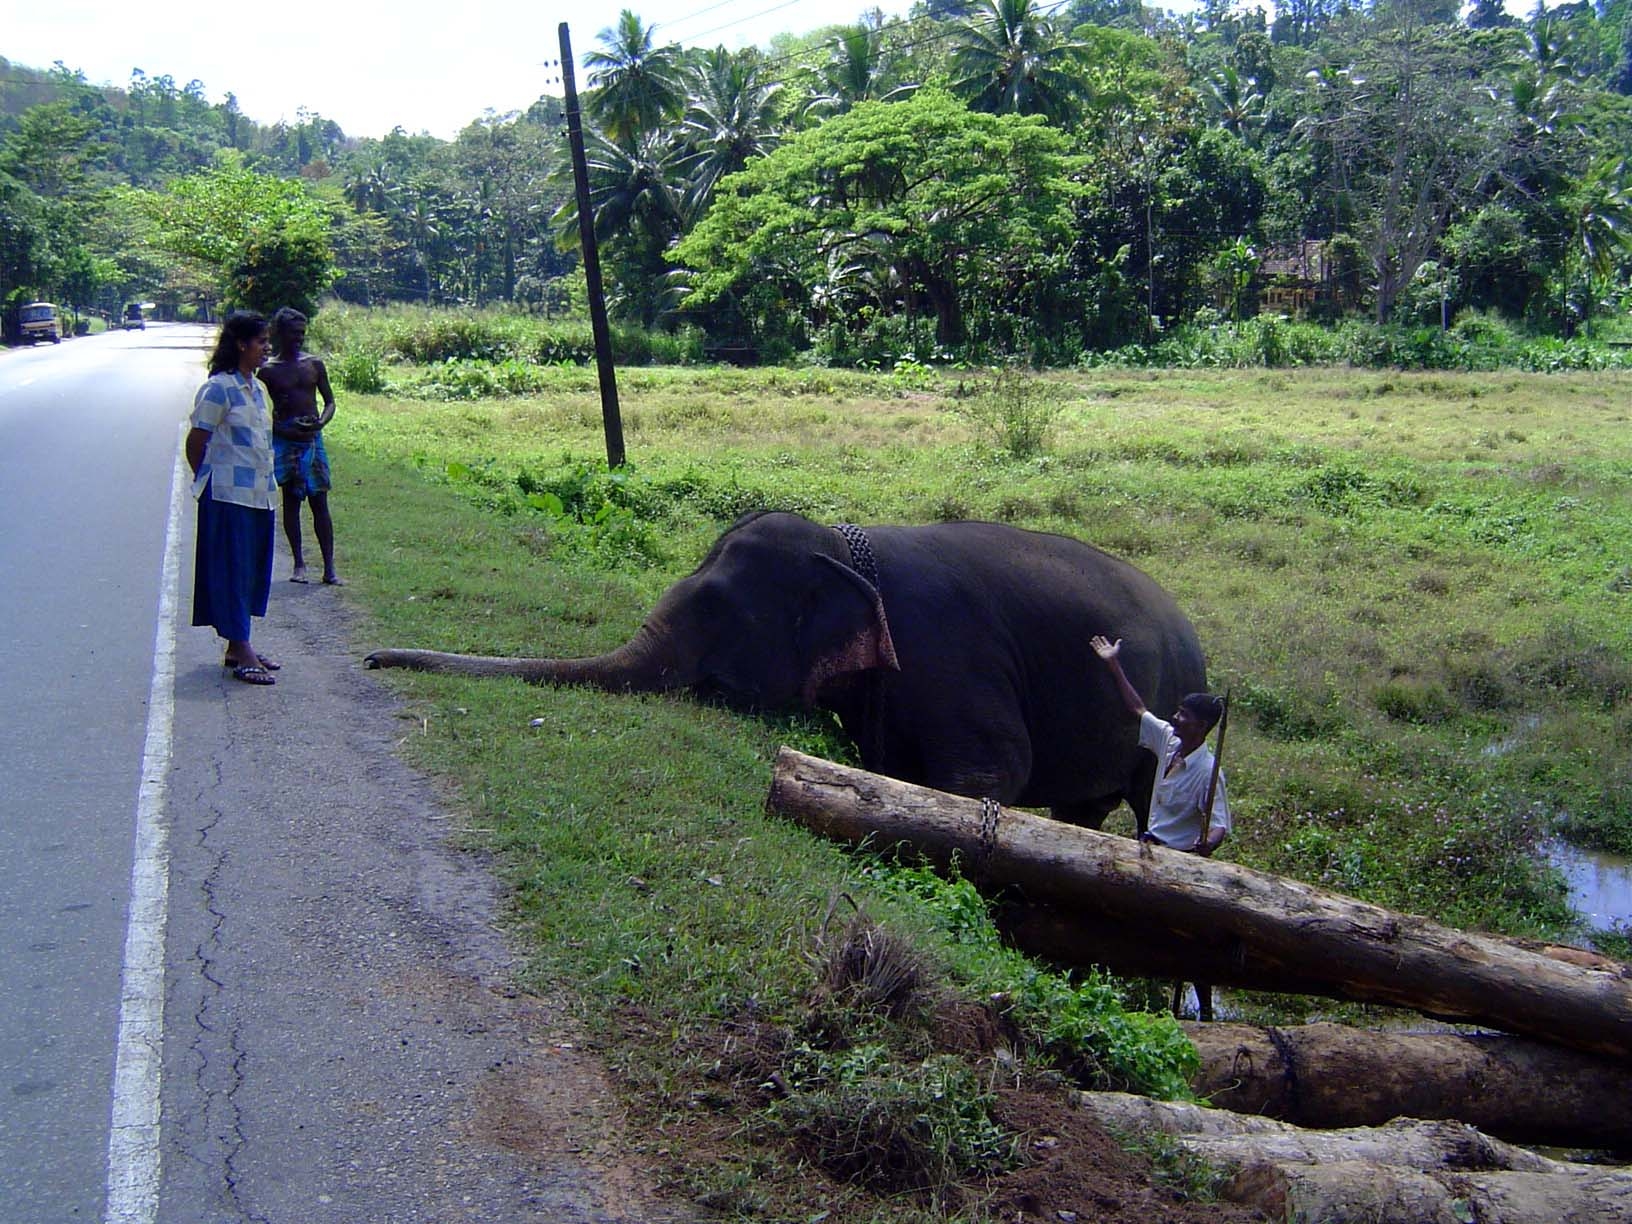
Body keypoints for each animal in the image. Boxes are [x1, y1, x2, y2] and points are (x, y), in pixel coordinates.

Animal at [365, 511, 1207, 830]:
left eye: (717, 612)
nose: (372, 658)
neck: (849, 544)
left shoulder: (951, 656)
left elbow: (992, 773)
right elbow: (890, 769)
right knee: (1084, 811)